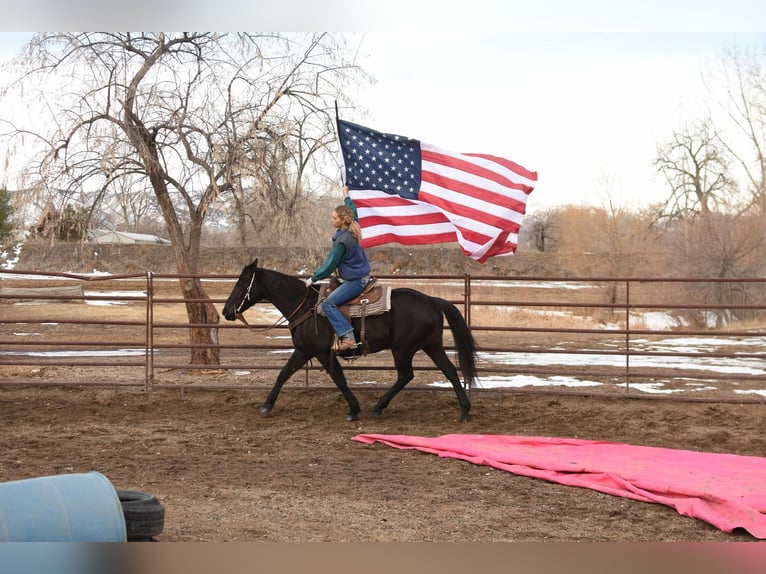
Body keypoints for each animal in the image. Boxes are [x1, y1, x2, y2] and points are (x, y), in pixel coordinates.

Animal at [220, 260, 480, 424]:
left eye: (241, 284)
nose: (226, 311)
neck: (305, 306)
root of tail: (432, 301)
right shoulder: (303, 351)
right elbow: (283, 374)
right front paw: (267, 405)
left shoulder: (322, 353)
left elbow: (339, 379)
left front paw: (353, 410)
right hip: (432, 346)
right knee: (449, 371)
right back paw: (464, 411)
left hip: (403, 349)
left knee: (406, 375)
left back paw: (378, 407)